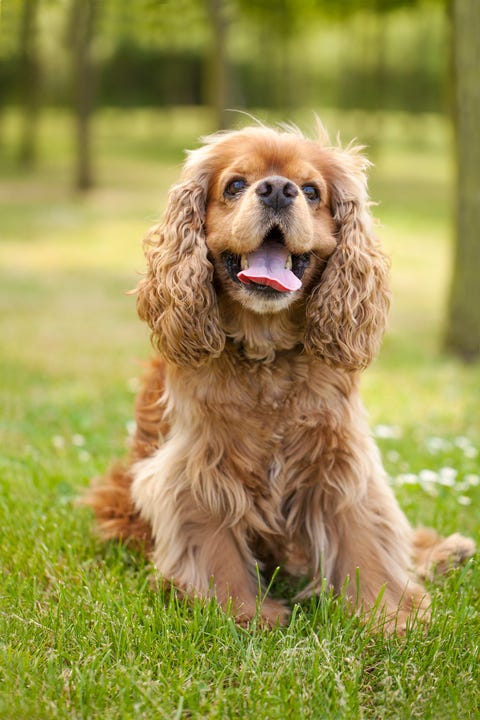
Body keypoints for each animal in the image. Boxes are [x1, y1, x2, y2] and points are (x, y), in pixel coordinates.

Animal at [87, 122, 476, 632]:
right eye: (235, 185)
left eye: (311, 191)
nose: (276, 189)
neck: (265, 354)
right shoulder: (198, 465)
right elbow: (215, 548)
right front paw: (245, 614)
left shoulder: (339, 456)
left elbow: (365, 537)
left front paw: (389, 616)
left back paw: (447, 552)